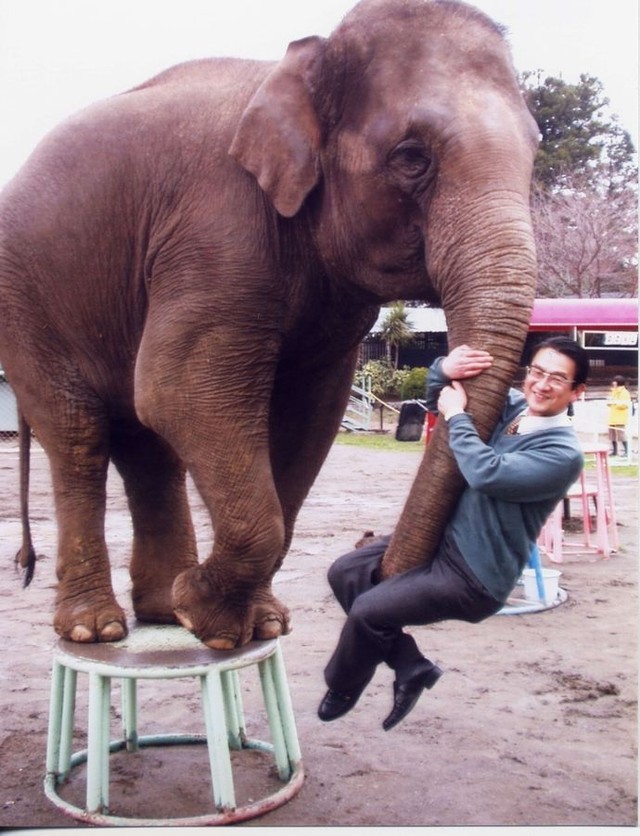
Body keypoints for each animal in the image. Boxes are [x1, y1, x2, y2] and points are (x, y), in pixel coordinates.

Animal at [0, 0, 539, 649]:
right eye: (412, 157)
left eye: (536, 150)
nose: (368, 550)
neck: (301, 68)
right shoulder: (216, 231)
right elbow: (180, 389)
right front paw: (208, 620)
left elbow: (310, 411)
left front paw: (255, 624)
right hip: (24, 304)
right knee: (81, 433)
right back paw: (94, 629)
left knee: (144, 440)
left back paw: (159, 611)